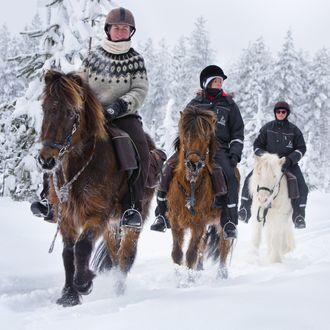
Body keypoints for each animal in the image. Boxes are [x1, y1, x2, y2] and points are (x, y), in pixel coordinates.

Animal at [39, 69, 155, 306]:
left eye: (71, 112)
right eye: (45, 108)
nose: (46, 160)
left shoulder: (97, 214)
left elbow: (82, 247)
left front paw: (84, 283)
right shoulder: (66, 216)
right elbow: (68, 253)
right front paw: (69, 295)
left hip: (130, 221)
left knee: (125, 257)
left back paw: (119, 292)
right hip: (112, 226)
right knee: (114, 253)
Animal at [168, 107, 235, 278]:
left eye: (206, 136)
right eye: (185, 134)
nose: (194, 164)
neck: (191, 185)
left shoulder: (198, 224)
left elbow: (191, 254)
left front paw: (189, 280)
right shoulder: (176, 223)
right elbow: (177, 254)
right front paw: (178, 277)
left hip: (221, 223)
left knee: (224, 246)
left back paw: (222, 274)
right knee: (203, 247)